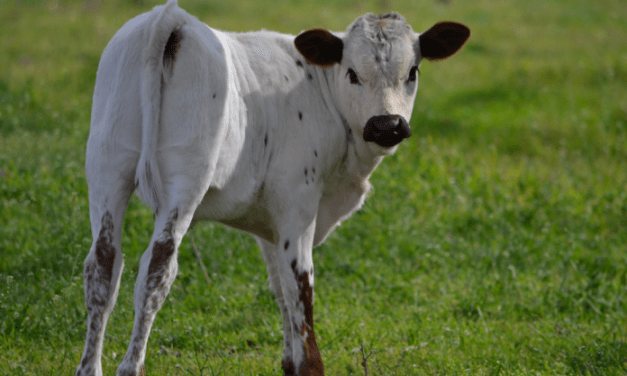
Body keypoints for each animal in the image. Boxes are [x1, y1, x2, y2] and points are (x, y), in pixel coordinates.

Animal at [76, 1, 468, 374]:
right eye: (353, 73)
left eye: (412, 72)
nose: (387, 124)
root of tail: (173, 19)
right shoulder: (298, 203)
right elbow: (300, 285)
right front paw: (309, 364)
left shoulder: (269, 219)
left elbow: (280, 287)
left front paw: (290, 361)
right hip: (185, 181)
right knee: (157, 269)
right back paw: (131, 367)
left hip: (106, 167)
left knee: (104, 265)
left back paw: (90, 367)